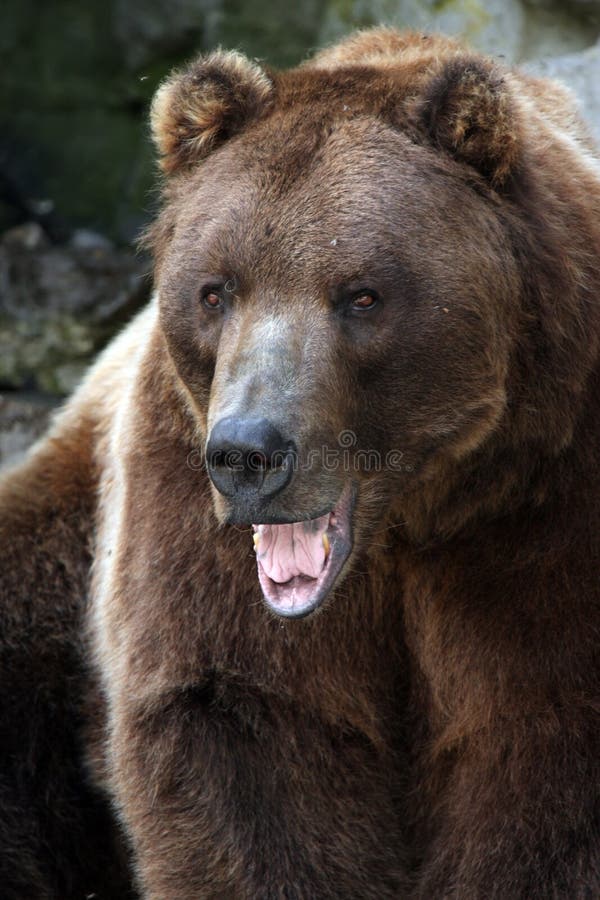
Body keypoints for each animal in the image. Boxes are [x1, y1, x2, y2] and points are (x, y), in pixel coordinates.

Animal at [2, 24, 600, 898]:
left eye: (362, 294)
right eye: (215, 290)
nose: (248, 454)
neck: (406, 522)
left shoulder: (545, 506)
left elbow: (541, 750)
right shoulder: (183, 506)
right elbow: (252, 737)